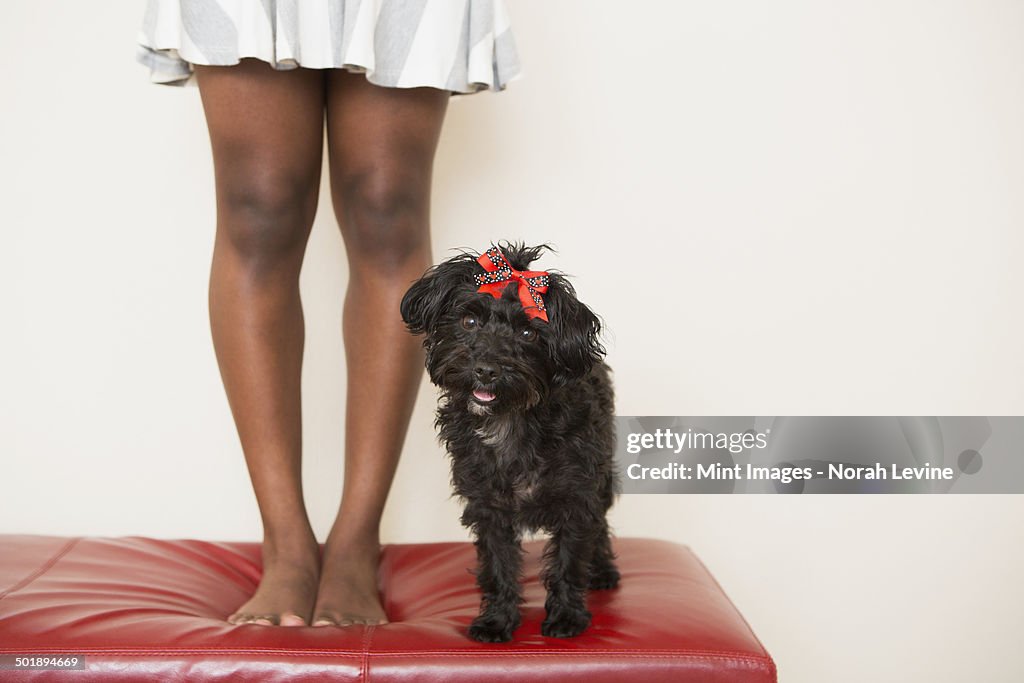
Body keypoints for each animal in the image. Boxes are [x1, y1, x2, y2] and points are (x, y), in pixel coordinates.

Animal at [399, 242, 618, 643]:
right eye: (469, 322)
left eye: (528, 333)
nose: (486, 369)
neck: (510, 420)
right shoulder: (488, 506)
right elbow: (498, 565)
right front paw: (496, 620)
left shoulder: (577, 498)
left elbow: (569, 559)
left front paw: (567, 617)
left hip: (603, 474)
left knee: (602, 525)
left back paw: (603, 571)